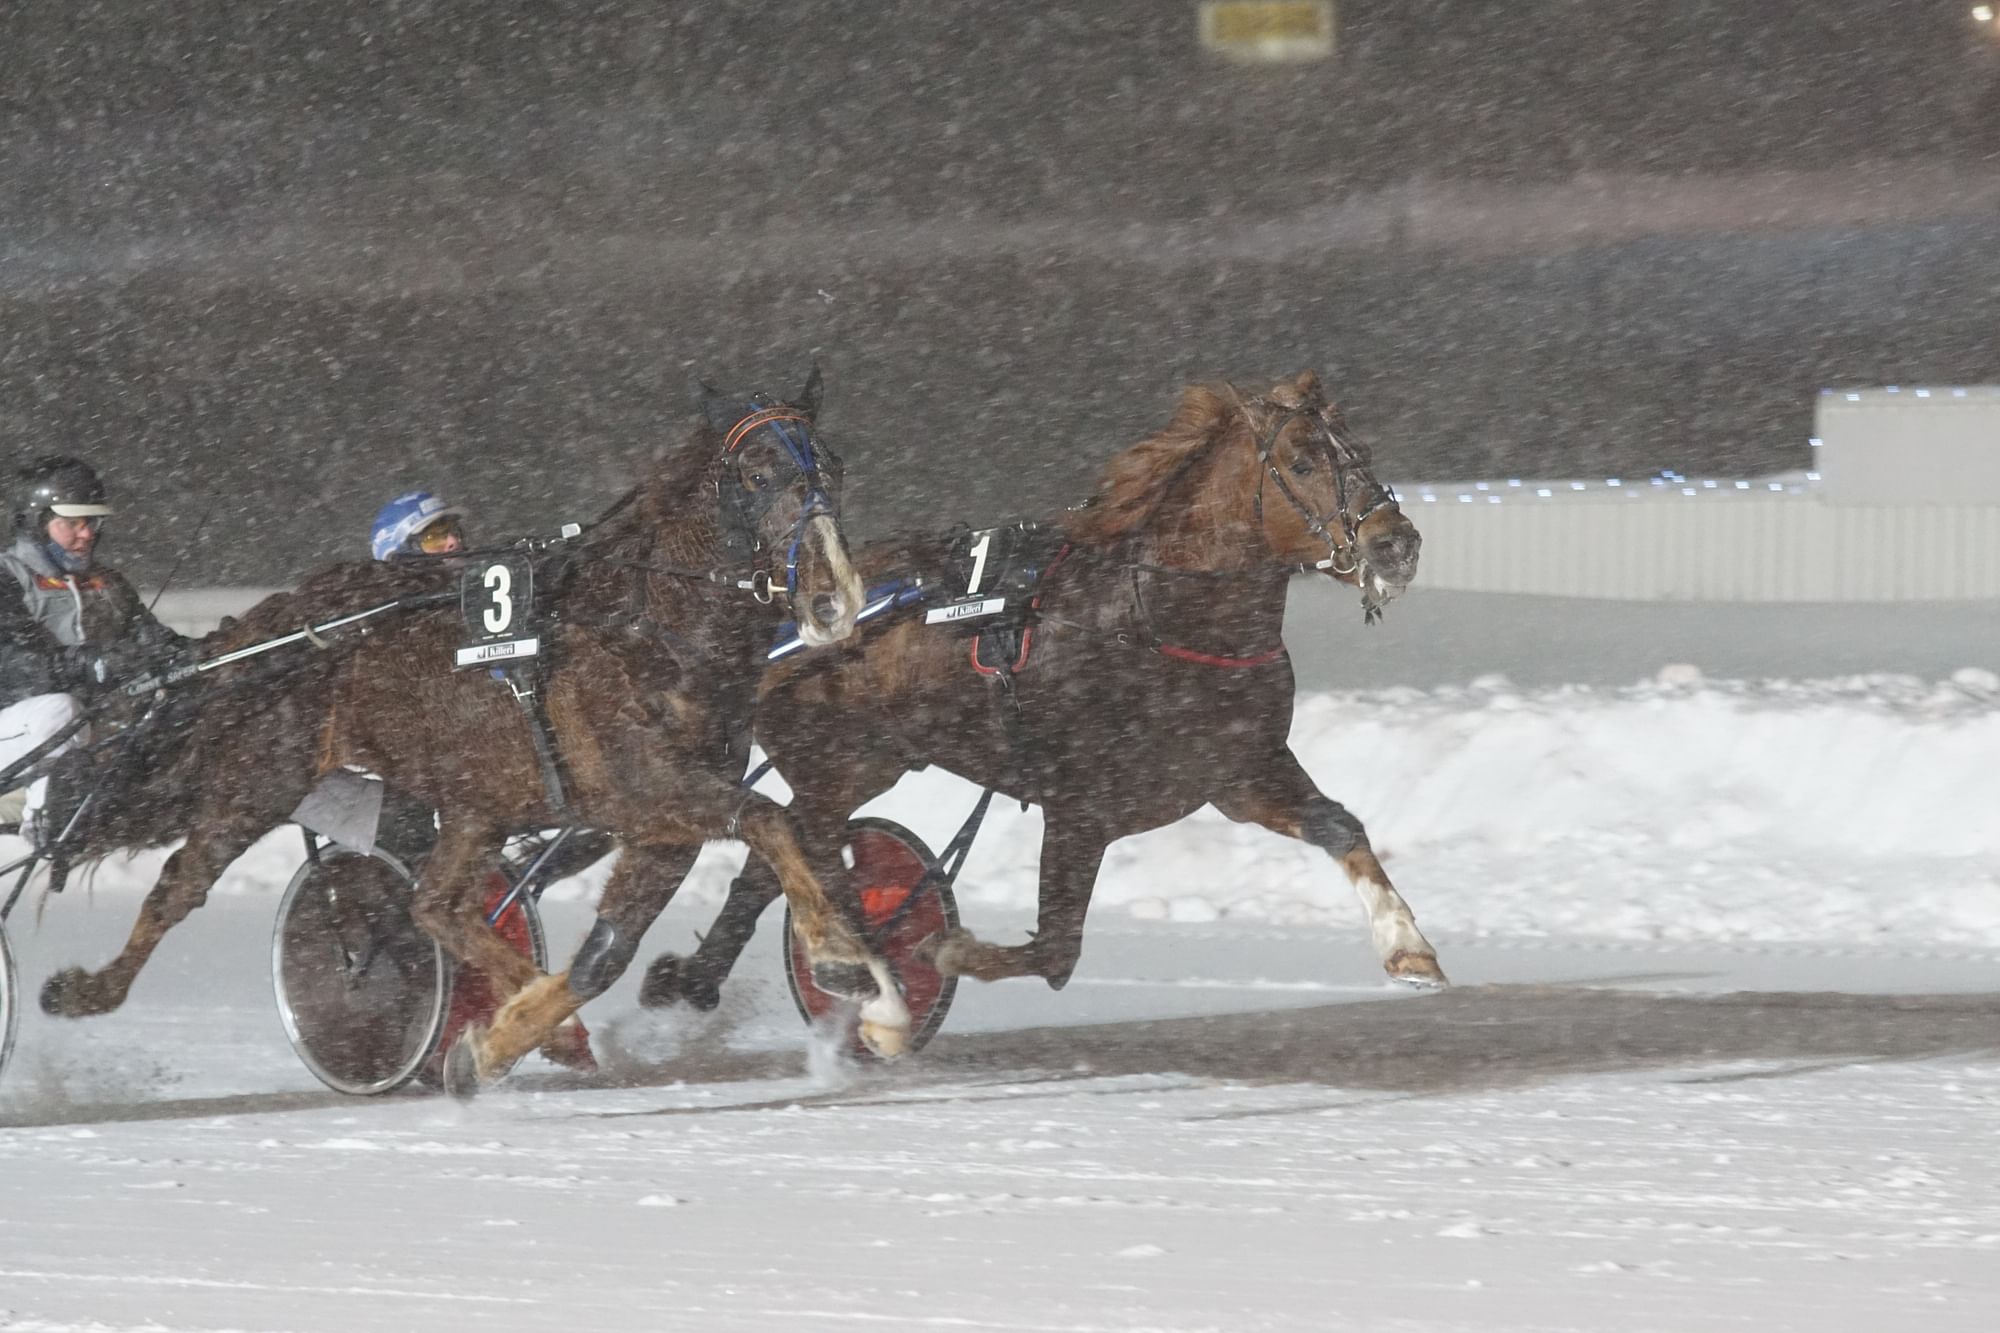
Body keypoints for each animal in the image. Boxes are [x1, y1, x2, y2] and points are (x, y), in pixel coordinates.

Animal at [648, 370, 1448, 1016]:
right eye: (1303, 461)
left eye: (1360, 452)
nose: (1395, 544)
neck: (1154, 621)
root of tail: (790, 603)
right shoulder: (1080, 807)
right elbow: (1056, 951)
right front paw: (938, 952)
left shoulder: (1238, 772)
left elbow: (1341, 826)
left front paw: (1409, 948)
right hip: (829, 766)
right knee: (791, 852)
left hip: (859, 768)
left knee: (769, 864)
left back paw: (699, 980)